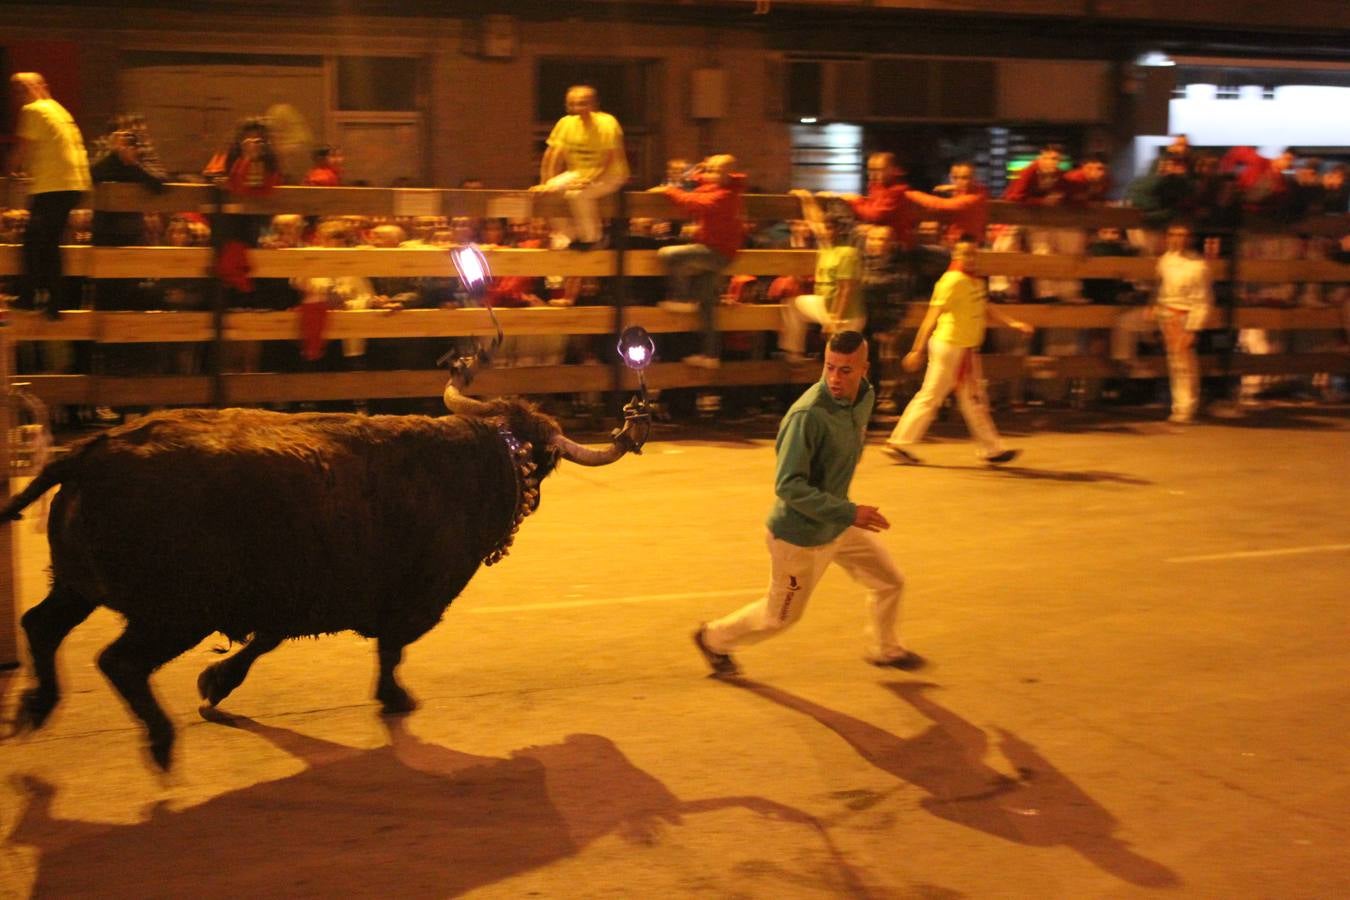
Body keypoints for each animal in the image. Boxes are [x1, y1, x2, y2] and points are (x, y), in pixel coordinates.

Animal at [0, 383, 650, 771]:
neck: (478, 459)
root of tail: (92, 451)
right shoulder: (413, 598)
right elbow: (390, 650)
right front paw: (394, 698)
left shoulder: (296, 596)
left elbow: (267, 640)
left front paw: (217, 681)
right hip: (175, 614)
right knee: (119, 661)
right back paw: (159, 742)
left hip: (79, 587)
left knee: (41, 626)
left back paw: (36, 706)